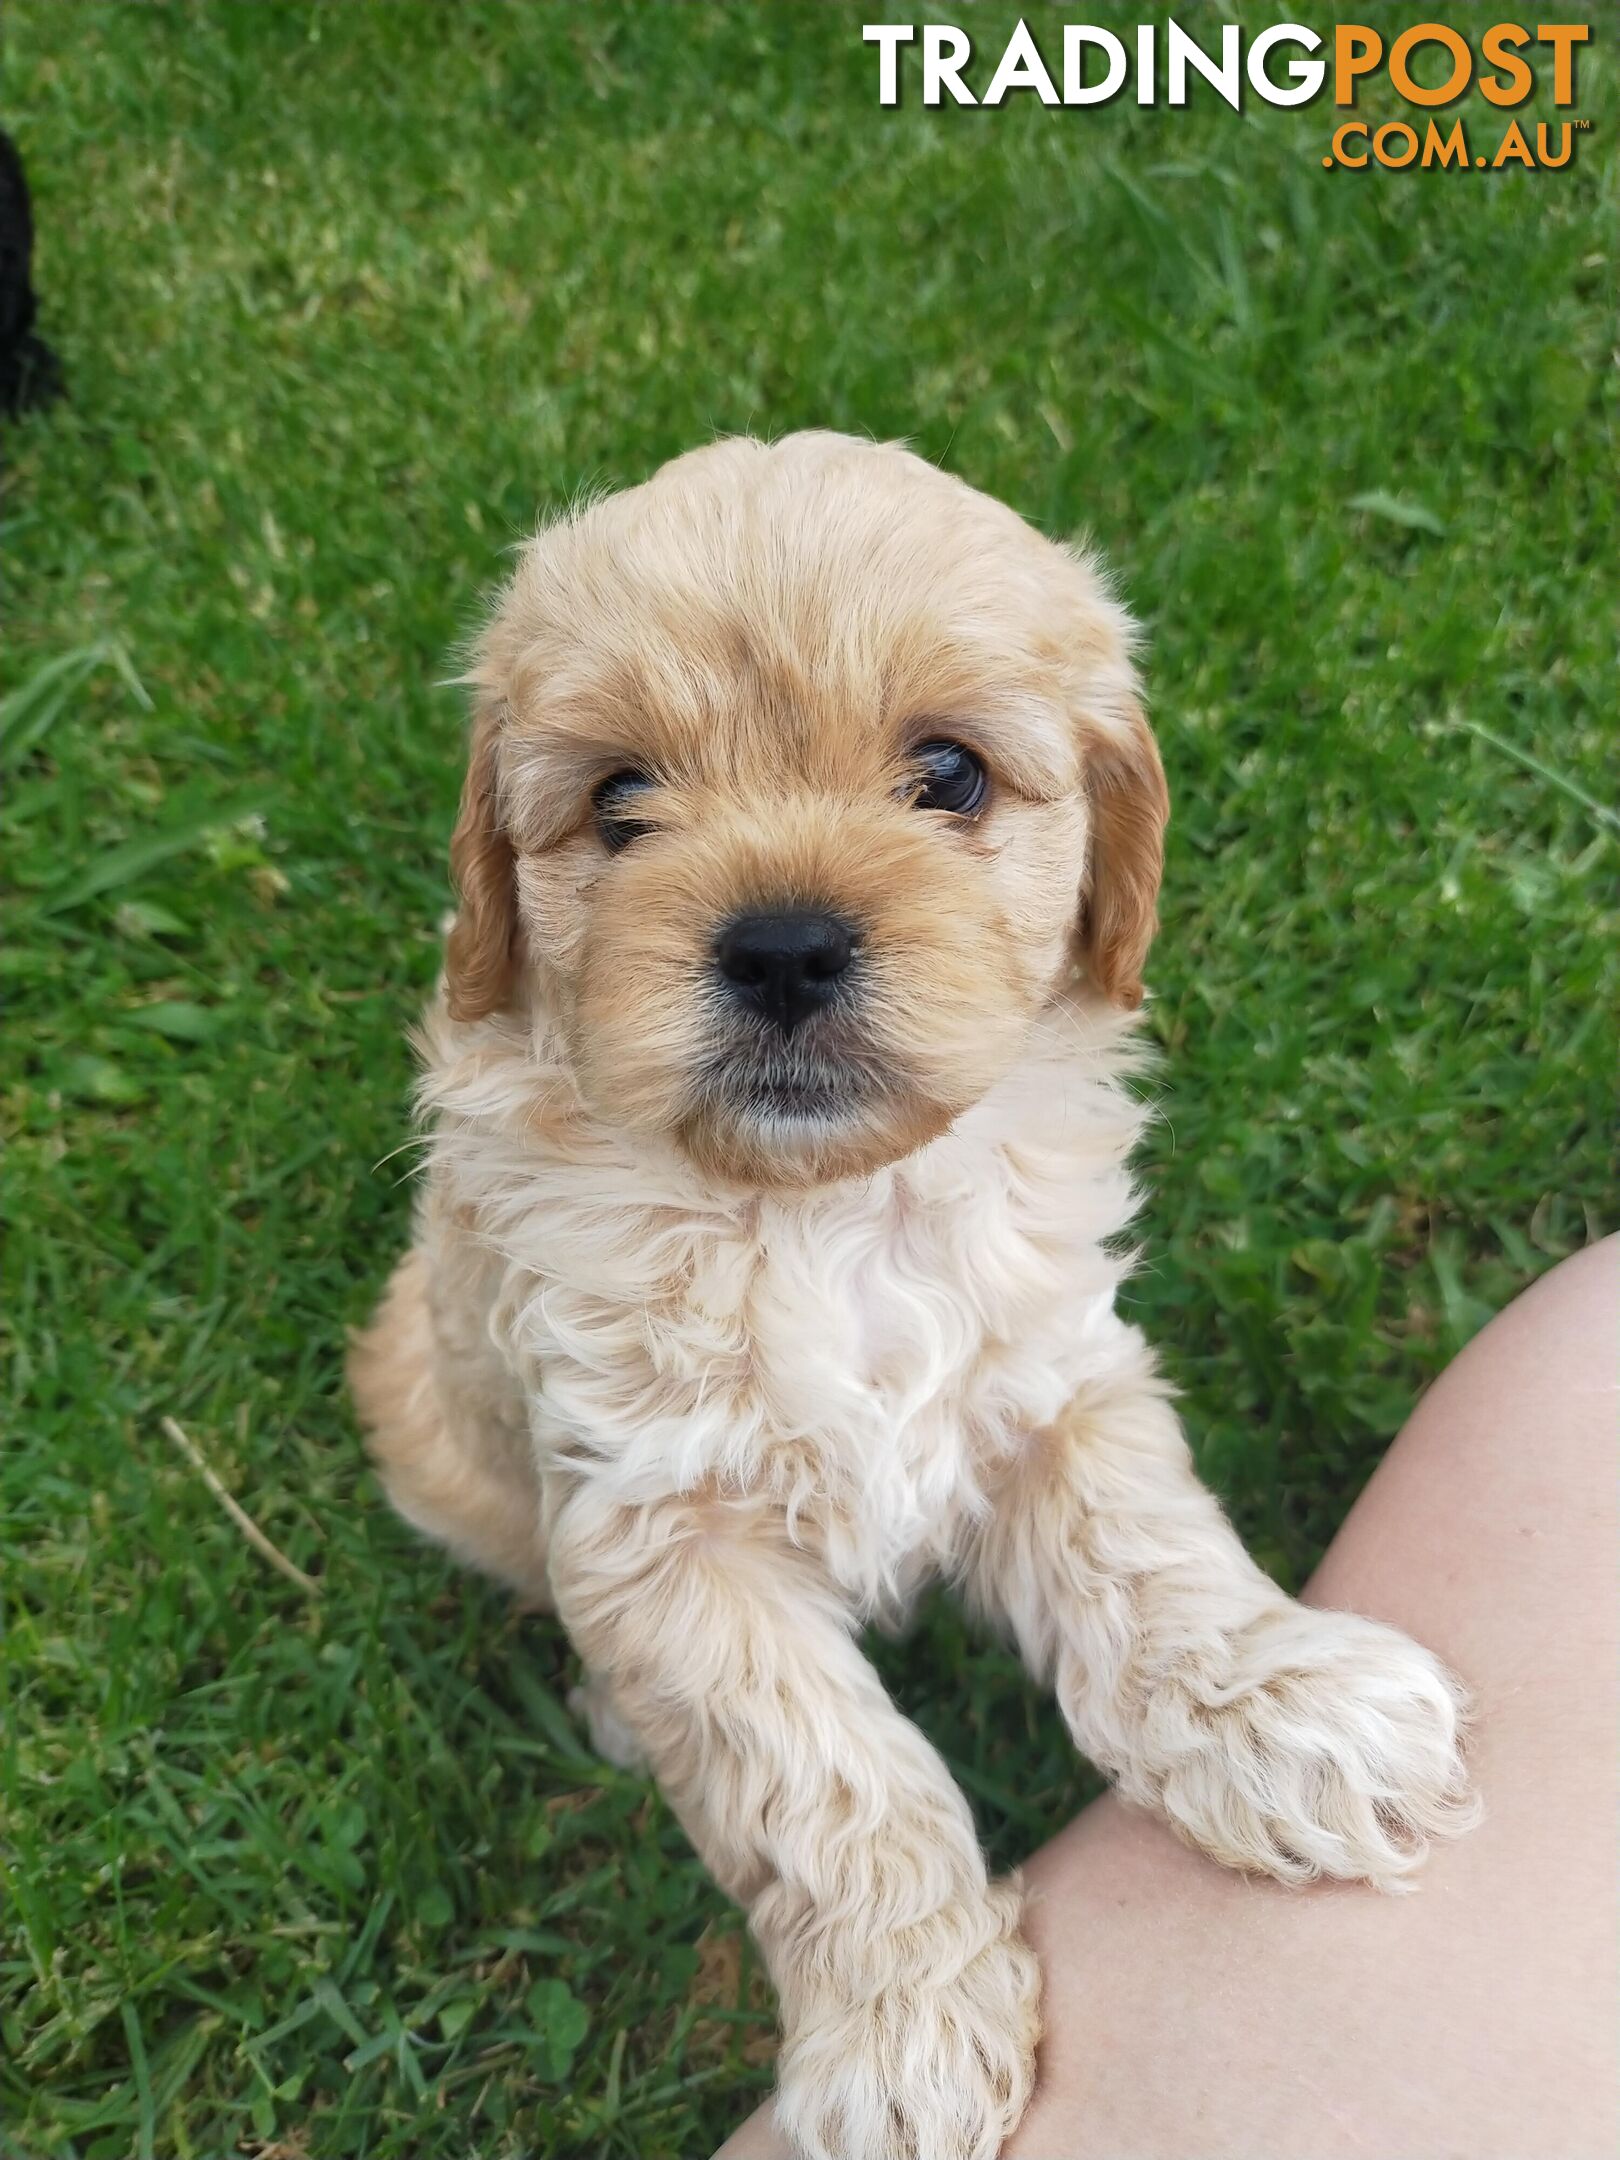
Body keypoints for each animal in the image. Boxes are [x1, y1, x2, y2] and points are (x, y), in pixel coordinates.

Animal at [354, 434, 1486, 2160]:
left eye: (949, 775)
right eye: (619, 802)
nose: (783, 947)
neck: (822, 1210)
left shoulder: (1054, 1379)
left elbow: (1150, 1561)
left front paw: (1284, 1712)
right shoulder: (659, 1527)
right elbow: (823, 1781)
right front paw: (901, 2039)